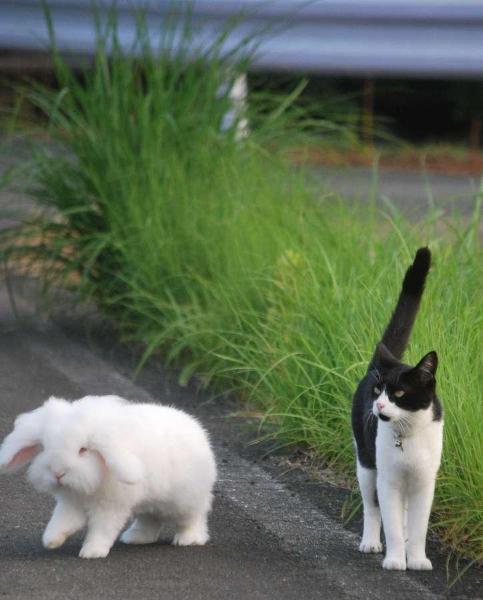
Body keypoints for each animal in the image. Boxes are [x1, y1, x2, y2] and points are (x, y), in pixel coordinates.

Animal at [0, 395, 217, 558]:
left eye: (83, 450)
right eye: (44, 447)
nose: (58, 473)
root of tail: (196, 428)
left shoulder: (110, 507)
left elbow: (102, 529)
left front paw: (91, 552)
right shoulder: (71, 503)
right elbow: (62, 521)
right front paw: (51, 540)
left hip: (185, 500)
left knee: (193, 517)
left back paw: (188, 539)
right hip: (151, 502)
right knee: (150, 519)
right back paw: (135, 537)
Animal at [351, 247, 443, 571]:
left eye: (400, 393)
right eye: (378, 391)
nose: (378, 404)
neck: (408, 434)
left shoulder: (424, 484)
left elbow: (418, 527)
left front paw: (416, 559)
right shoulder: (388, 480)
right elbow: (388, 520)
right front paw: (394, 559)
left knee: (403, 518)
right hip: (366, 464)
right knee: (371, 507)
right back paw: (370, 543)